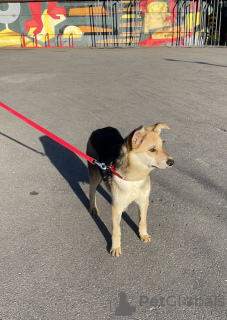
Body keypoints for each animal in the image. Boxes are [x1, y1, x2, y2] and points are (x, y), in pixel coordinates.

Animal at [86, 123, 174, 258]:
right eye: (152, 150)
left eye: (162, 146)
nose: (172, 162)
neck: (134, 178)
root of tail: (101, 129)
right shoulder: (116, 208)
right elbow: (116, 231)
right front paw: (115, 247)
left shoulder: (143, 201)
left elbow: (142, 221)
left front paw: (143, 235)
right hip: (95, 174)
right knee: (92, 190)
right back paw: (93, 208)